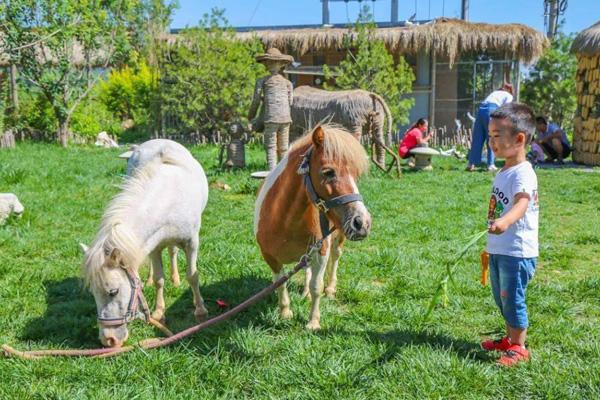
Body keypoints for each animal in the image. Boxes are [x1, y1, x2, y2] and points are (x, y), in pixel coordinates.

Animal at [82, 140, 209, 346]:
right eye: (92, 293)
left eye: (113, 291)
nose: (108, 340)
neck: (168, 199)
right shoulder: (154, 245)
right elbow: (159, 279)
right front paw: (159, 312)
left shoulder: (192, 243)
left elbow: (192, 276)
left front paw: (200, 310)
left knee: (172, 252)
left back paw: (176, 279)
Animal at [253, 124, 370, 328]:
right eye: (329, 172)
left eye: (356, 175)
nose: (362, 223)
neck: (284, 221)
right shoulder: (270, 257)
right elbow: (280, 283)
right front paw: (285, 313)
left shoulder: (321, 251)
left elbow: (317, 286)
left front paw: (313, 322)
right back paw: (305, 293)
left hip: (338, 237)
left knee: (336, 258)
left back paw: (330, 289)